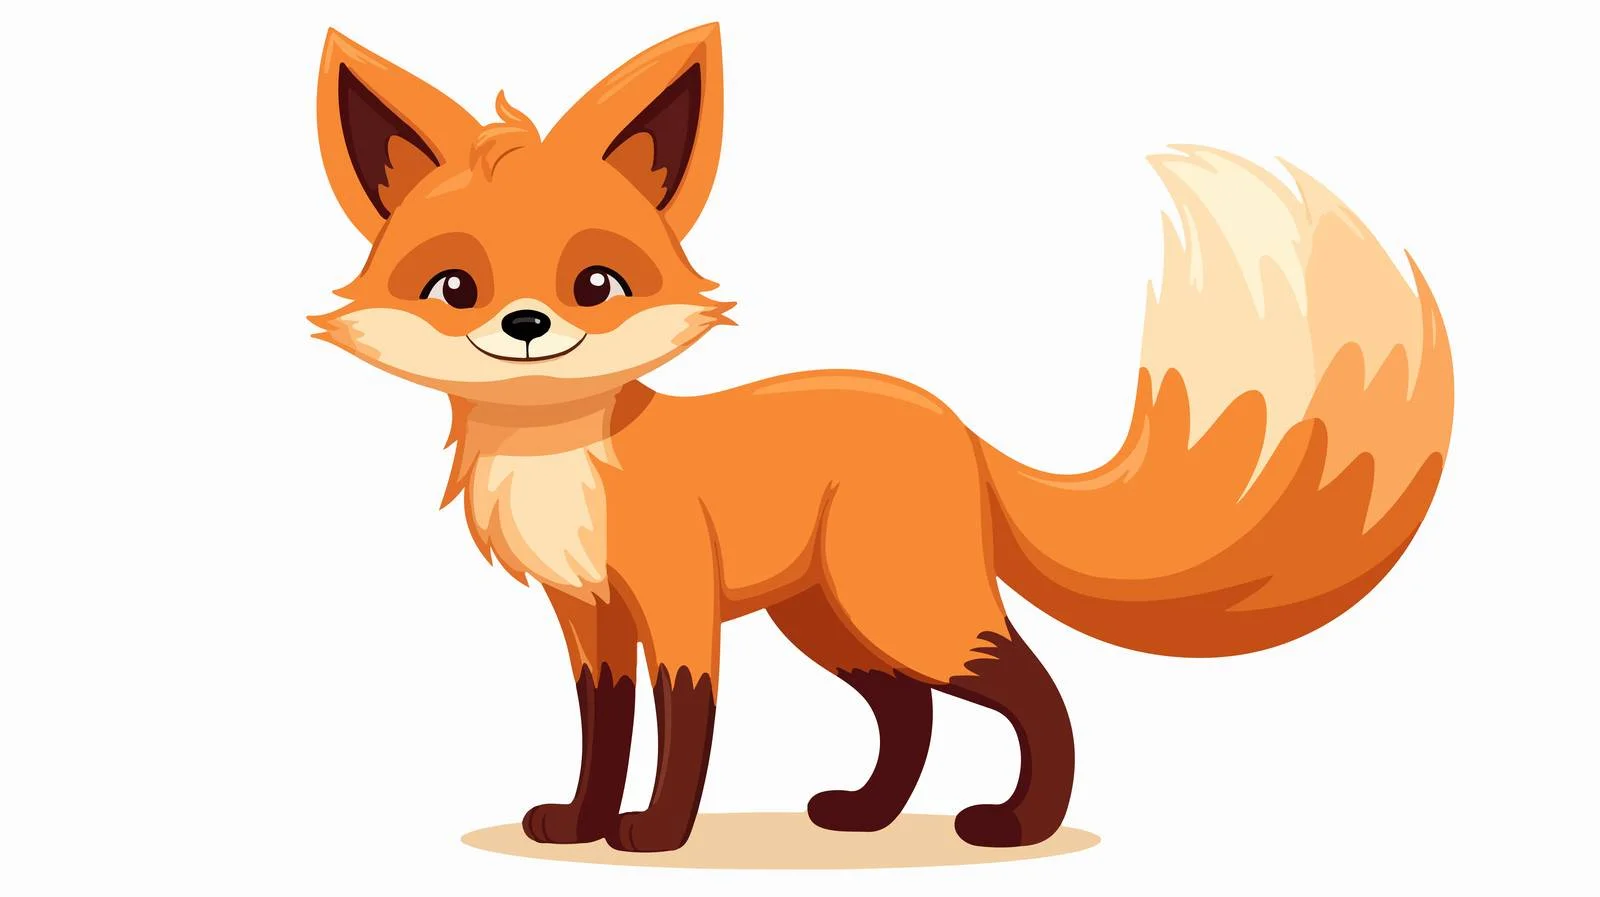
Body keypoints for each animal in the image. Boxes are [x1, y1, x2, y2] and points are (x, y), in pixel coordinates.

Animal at [311, 23, 1453, 853]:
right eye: (453, 287)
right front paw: (580, 825)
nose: (525, 326)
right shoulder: (588, 616)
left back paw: (1016, 825)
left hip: (904, 605)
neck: (564, 458)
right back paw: (866, 815)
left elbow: (684, 726)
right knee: (910, 714)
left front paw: (656, 834)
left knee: (1030, 688)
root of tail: (955, 423)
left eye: (595, 283)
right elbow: (604, 729)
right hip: (832, 621)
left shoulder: (677, 602)